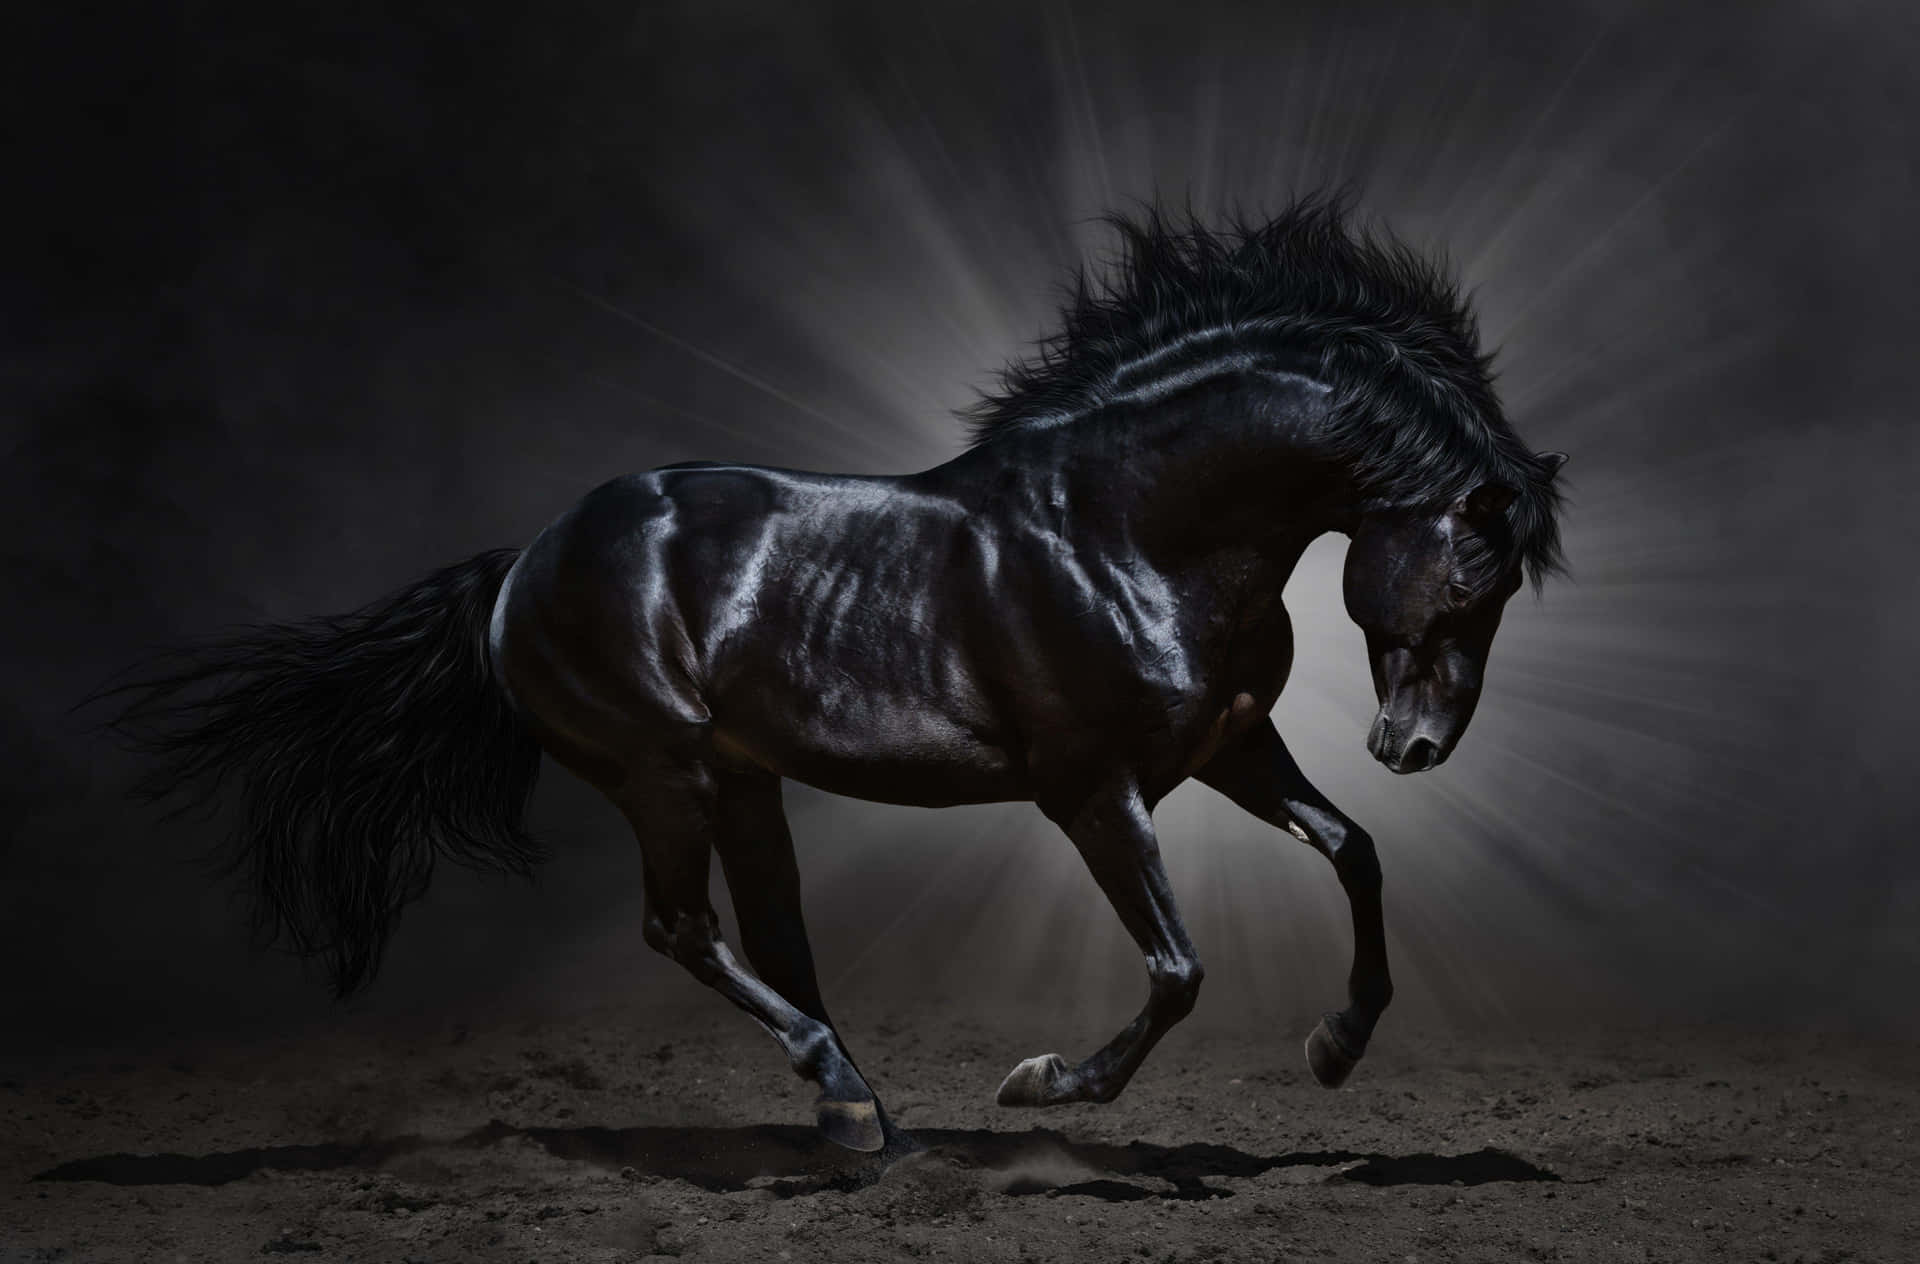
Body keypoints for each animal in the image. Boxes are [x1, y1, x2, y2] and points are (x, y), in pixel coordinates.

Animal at [105, 196, 1566, 1155]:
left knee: (774, 937)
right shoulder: (1093, 790)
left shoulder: (1226, 747)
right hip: (662, 771)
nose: (1415, 746)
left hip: (740, 780)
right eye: (1472, 575)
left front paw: (1336, 1046)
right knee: (683, 930)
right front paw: (1043, 1084)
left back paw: (859, 1113)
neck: (1124, 530)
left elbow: (1355, 851)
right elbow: (1177, 967)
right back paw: (849, 1100)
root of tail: (522, 563)